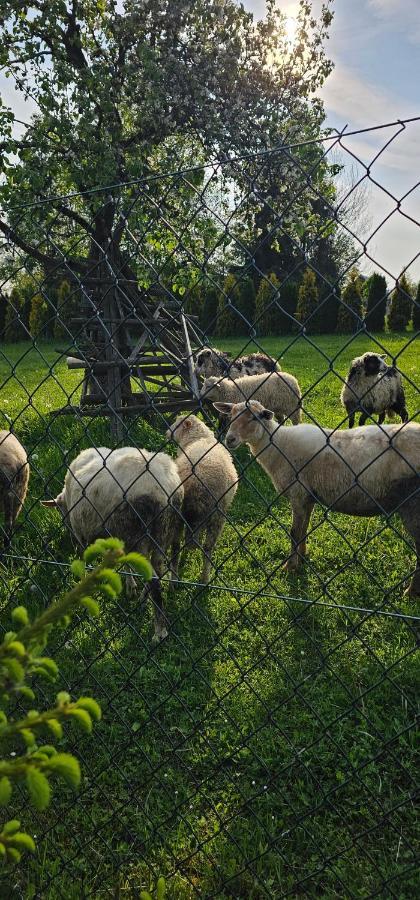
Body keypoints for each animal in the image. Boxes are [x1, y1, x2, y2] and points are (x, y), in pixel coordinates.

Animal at [41, 442, 184, 640]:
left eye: (61, 512)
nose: (69, 537)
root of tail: (166, 488)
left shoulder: (84, 534)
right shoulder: (120, 538)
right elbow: (127, 565)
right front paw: (131, 588)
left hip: (141, 536)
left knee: (155, 581)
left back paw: (159, 630)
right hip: (166, 532)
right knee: (165, 563)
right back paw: (152, 595)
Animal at [167, 414, 240, 584]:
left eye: (177, 424)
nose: (167, 432)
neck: (199, 438)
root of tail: (197, 485)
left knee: (177, 545)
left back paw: (177, 579)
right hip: (217, 515)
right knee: (207, 547)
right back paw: (204, 579)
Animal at [215, 400, 420, 596]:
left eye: (254, 418)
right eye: (231, 415)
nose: (230, 439)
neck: (278, 445)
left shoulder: (298, 493)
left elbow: (294, 532)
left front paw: (290, 566)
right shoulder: (308, 497)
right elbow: (304, 528)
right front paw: (302, 556)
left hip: (412, 504)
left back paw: (411, 592)